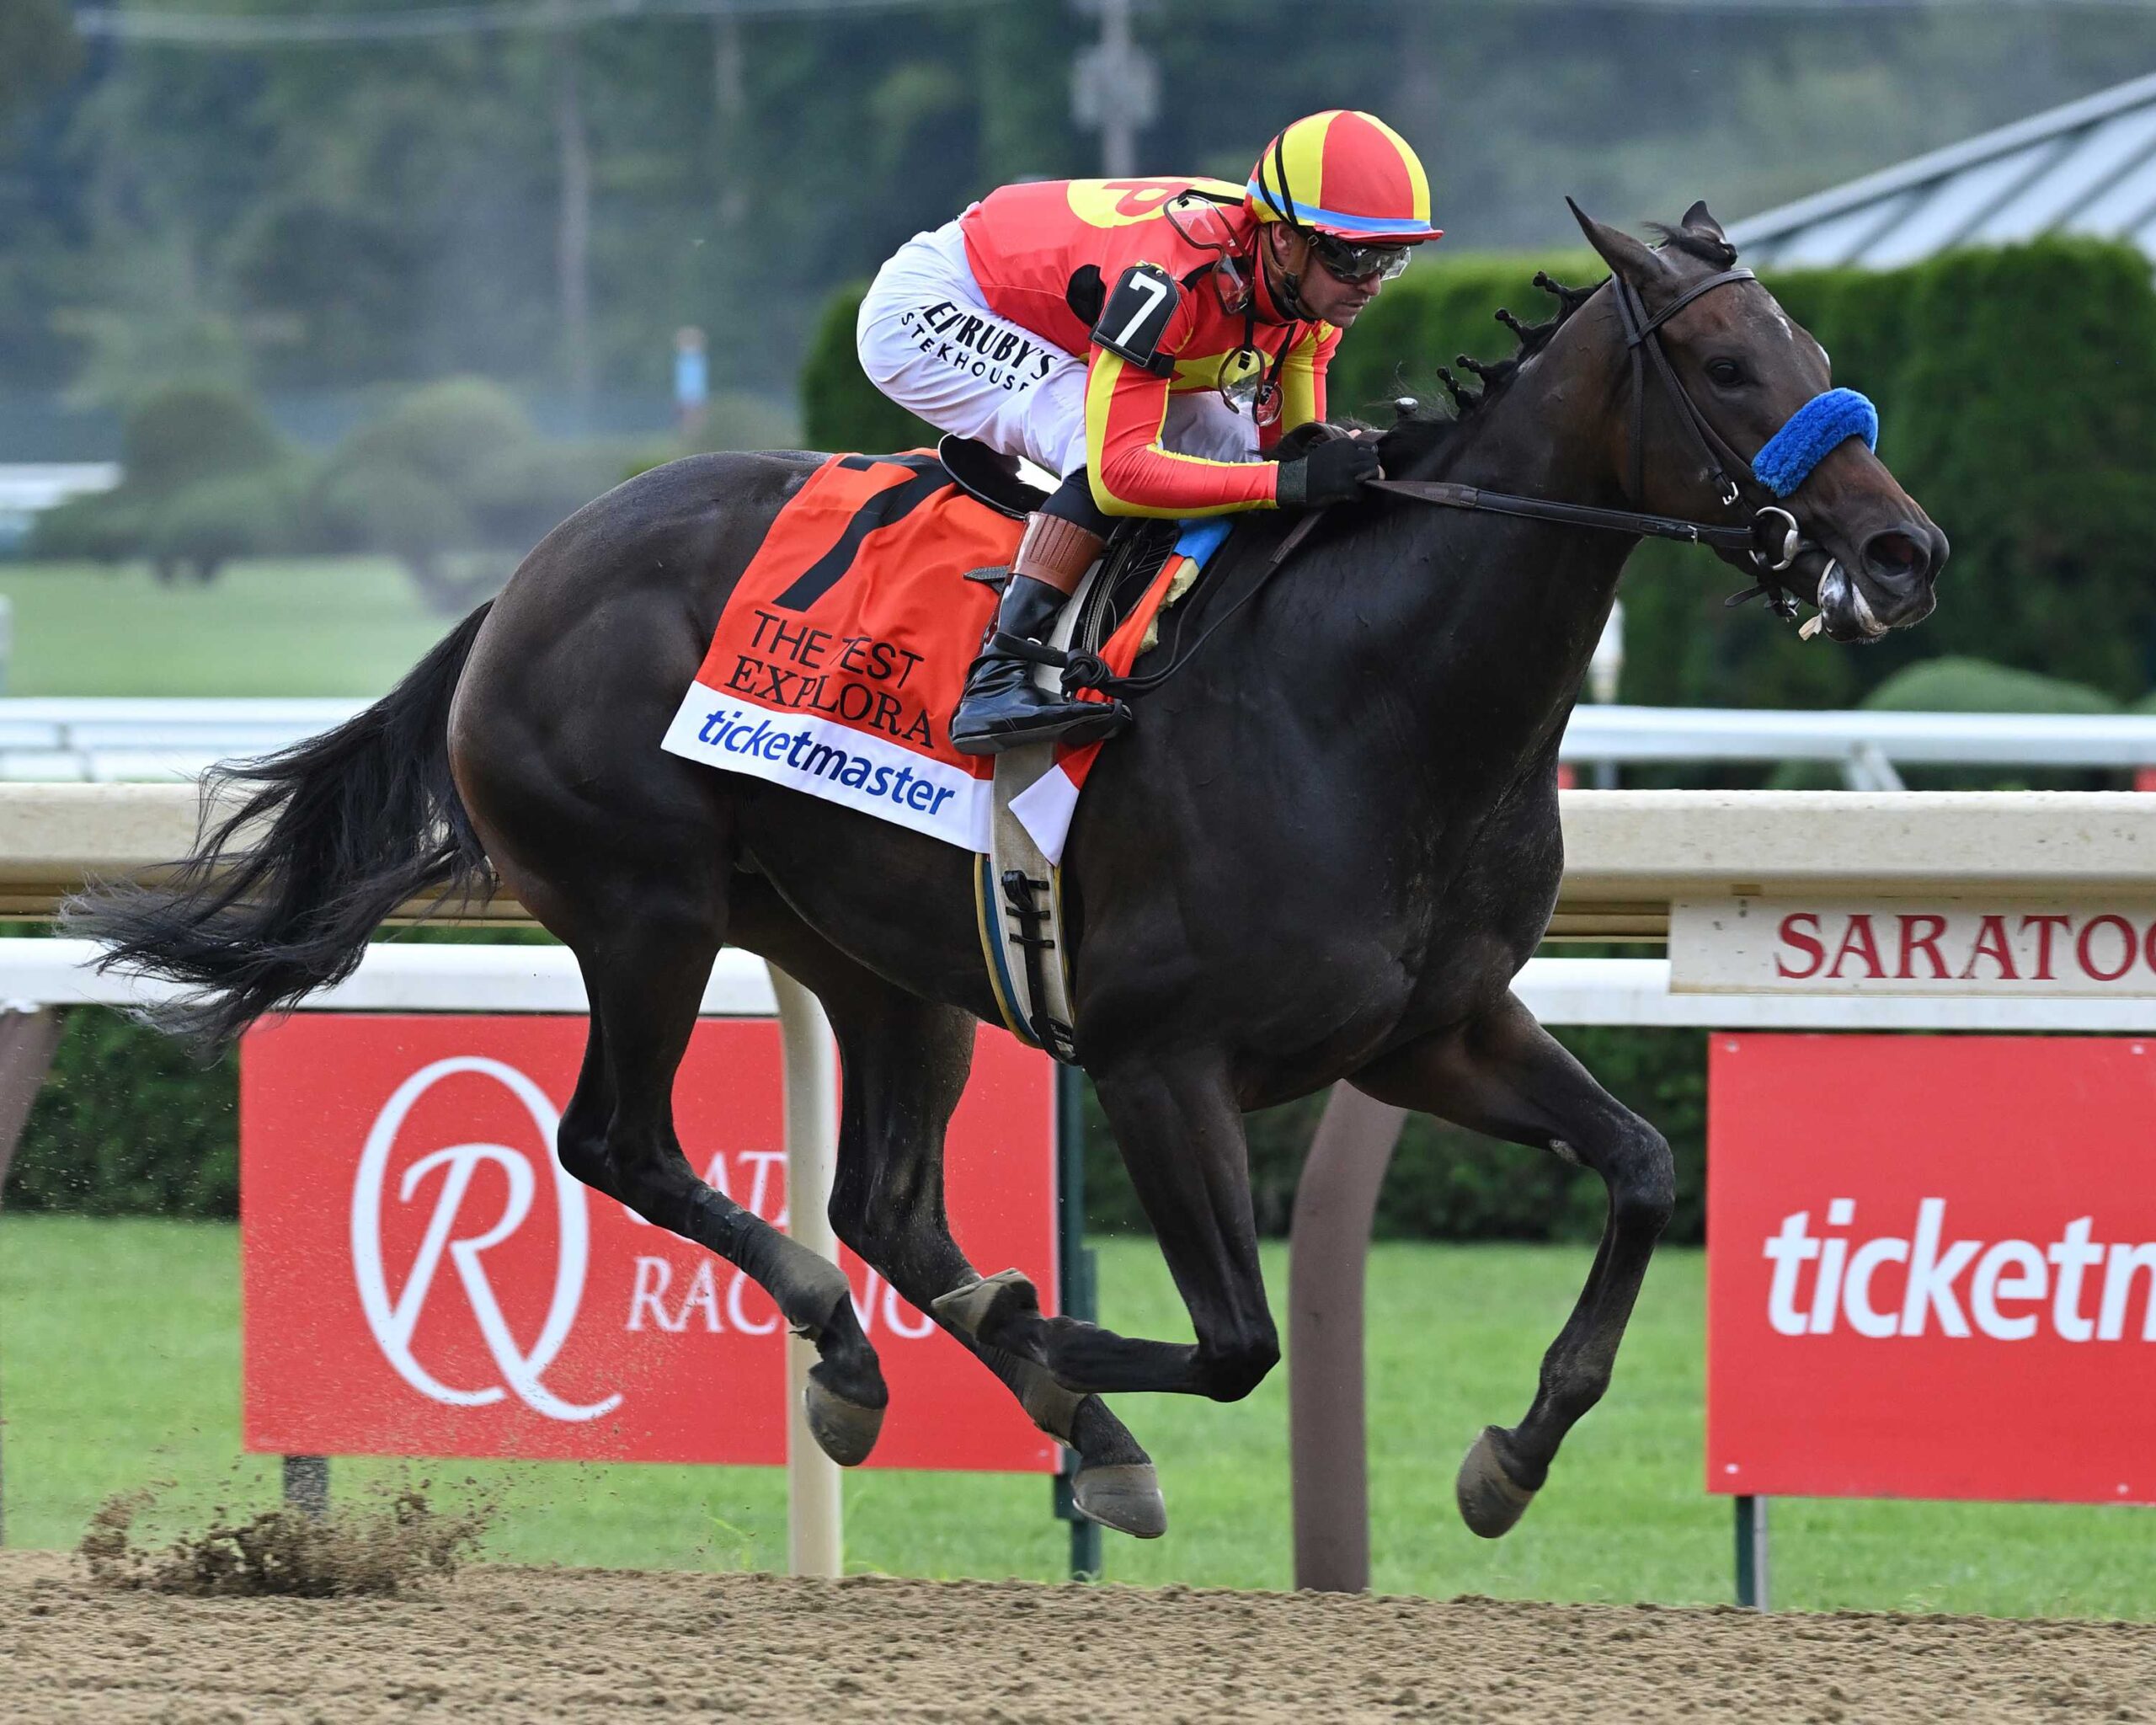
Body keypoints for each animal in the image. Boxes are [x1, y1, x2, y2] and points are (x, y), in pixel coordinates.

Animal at [72, 201, 1944, 1543]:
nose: (1900, 544)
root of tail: (532, 572)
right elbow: (1238, 1339)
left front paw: (1510, 1452)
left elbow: (1639, 1165)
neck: (1378, 696)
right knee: (624, 1143)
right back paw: (881, 1355)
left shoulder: (1432, 1029)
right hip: (646, 908)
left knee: (884, 1204)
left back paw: (985, 1394)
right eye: (1724, 364)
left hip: (878, 958)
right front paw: (1052, 1344)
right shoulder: (1158, 1059)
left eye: (1811, 340)